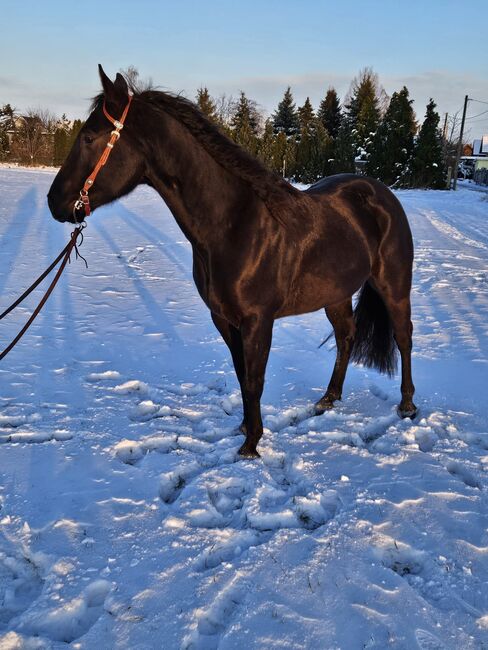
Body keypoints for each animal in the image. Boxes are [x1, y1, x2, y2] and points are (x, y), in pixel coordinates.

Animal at [47, 67, 418, 456]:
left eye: (89, 137)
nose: (54, 201)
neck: (233, 224)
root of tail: (381, 194)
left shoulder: (258, 321)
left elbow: (254, 379)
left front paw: (251, 445)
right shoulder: (224, 318)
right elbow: (241, 374)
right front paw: (244, 428)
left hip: (393, 285)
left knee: (404, 337)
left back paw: (407, 405)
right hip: (336, 294)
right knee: (346, 337)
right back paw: (329, 398)